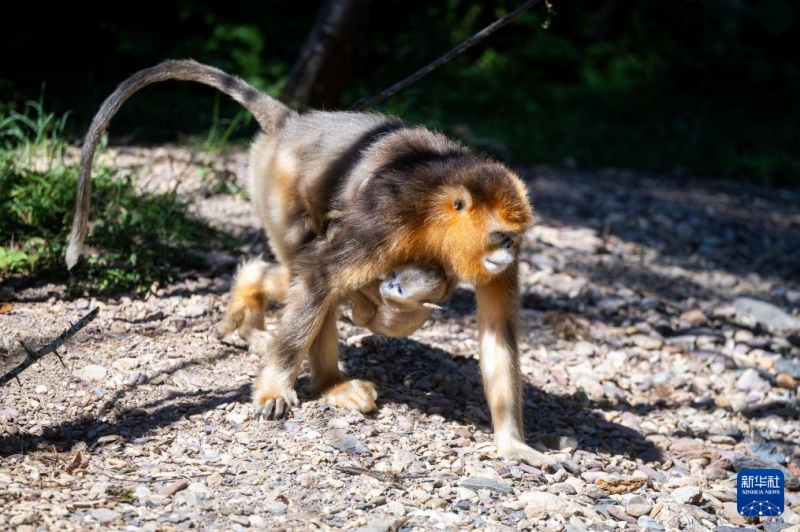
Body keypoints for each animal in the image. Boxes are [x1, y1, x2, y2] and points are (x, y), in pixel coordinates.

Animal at [64, 59, 556, 466]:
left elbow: (497, 334)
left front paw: (512, 445)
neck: (438, 213)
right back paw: (307, 363)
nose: (506, 252)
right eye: (500, 236)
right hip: (275, 180)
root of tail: (293, 123)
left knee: (311, 276)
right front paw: (273, 387)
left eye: (514, 239)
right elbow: (322, 274)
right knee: (314, 269)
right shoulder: (390, 214)